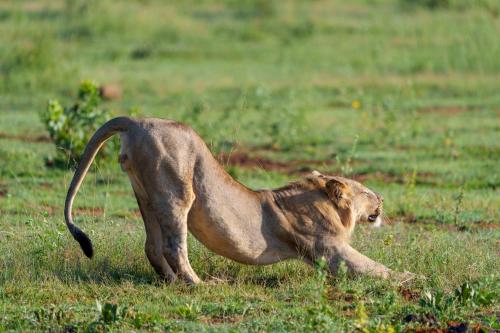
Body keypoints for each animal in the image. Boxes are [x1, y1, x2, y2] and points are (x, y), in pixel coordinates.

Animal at [64, 116, 416, 282]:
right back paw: (199, 284)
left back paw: (172, 282)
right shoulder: (329, 250)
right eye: (367, 192)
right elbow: (372, 267)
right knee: (173, 246)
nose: (382, 197)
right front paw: (411, 277)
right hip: (177, 188)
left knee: (152, 246)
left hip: (145, 193)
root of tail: (137, 121)